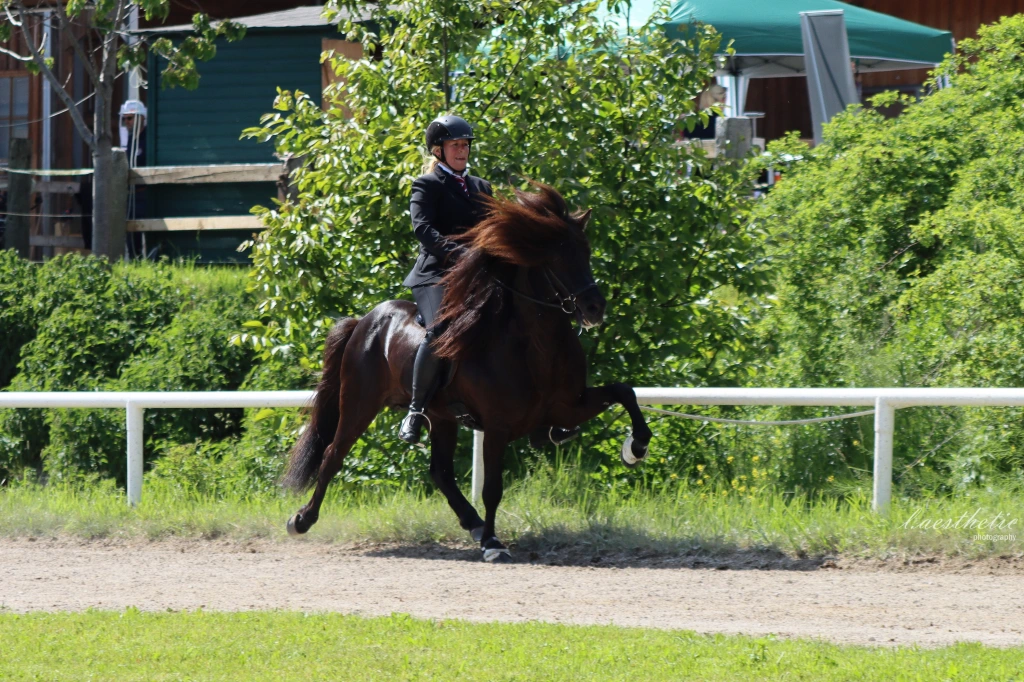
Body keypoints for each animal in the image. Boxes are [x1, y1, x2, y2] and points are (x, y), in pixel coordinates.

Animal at [280, 180, 651, 557]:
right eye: (556, 258)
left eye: (585, 253)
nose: (594, 308)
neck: (535, 344)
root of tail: (365, 321)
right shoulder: (497, 426)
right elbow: (493, 487)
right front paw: (492, 543)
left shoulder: (567, 406)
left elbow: (624, 392)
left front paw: (635, 448)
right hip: (359, 403)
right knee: (332, 455)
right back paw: (301, 520)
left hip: (441, 416)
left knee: (440, 472)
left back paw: (472, 523)